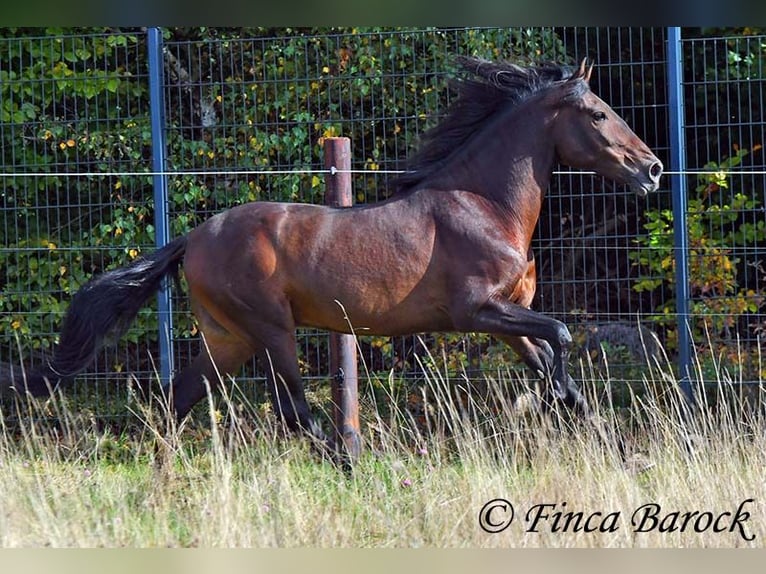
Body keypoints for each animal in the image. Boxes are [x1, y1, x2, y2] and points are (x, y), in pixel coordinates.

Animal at [24, 57, 662, 448]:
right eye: (598, 113)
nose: (653, 169)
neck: (484, 203)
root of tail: (193, 237)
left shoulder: (505, 317)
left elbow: (549, 351)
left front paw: (585, 418)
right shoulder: (475, 312)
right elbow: (560, 333)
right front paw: (559, 401)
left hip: (227, 338)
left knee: (183, 397)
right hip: (270, 329)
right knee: (293, 411)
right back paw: (350, 456)